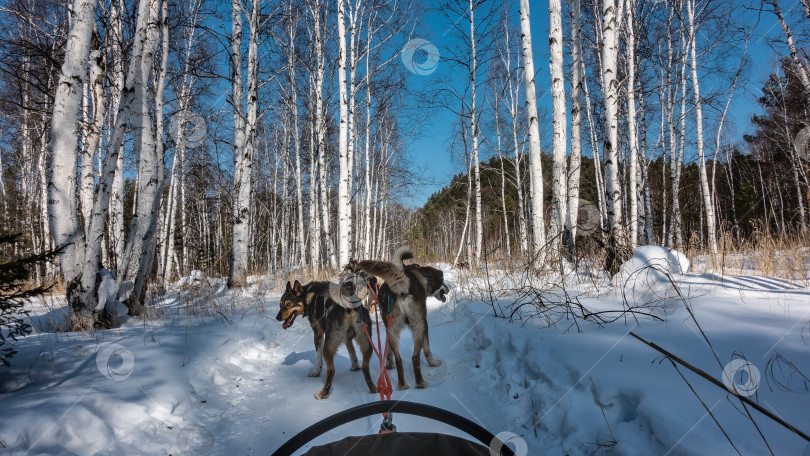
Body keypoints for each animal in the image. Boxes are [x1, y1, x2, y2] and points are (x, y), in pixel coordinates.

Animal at [350, 248, 448, 390]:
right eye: (442, 281)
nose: (448, 289)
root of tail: (402, 287)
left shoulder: (388, 328)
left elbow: (389, 350)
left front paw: (388, 363)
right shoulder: (425, 325)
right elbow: (427, 348)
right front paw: (433, 363)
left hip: (394, 329)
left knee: (399, 359)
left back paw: (402, 384)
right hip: (419, 326)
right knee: (415, 357)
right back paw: (420, 383)